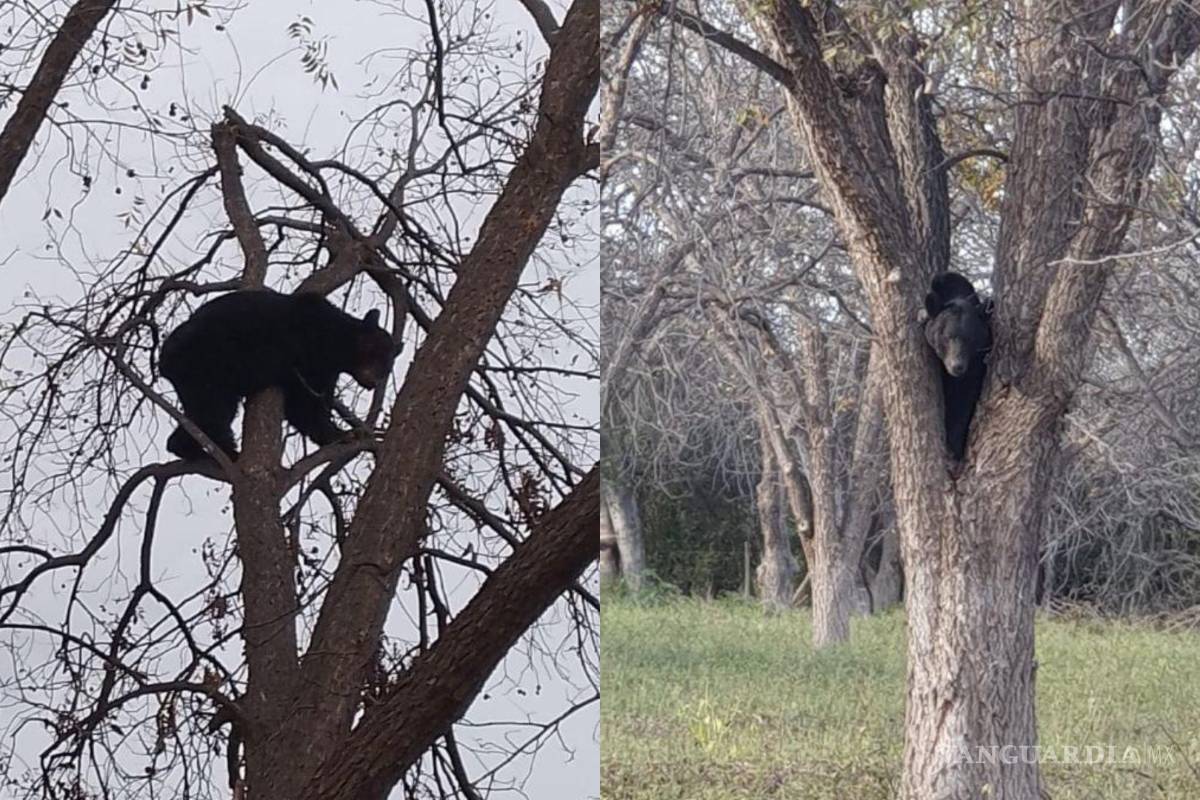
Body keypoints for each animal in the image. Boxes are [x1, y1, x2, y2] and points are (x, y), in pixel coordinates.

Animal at [159, 290, 398, 460]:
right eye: (379, 360)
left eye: (387, 368)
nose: (376, 381)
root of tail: (163, 361)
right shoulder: (308, 354)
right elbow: (304, 405)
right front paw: (341, 433)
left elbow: (306, 406)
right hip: (205, 365)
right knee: (215, 412)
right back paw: (227, 452)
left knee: (203, 413)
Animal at [923, 271, 993, 461]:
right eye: (947, 336)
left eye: (970, 338)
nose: (957, 366)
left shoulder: (975, 368)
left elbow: (965, 402)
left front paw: (954, 445)